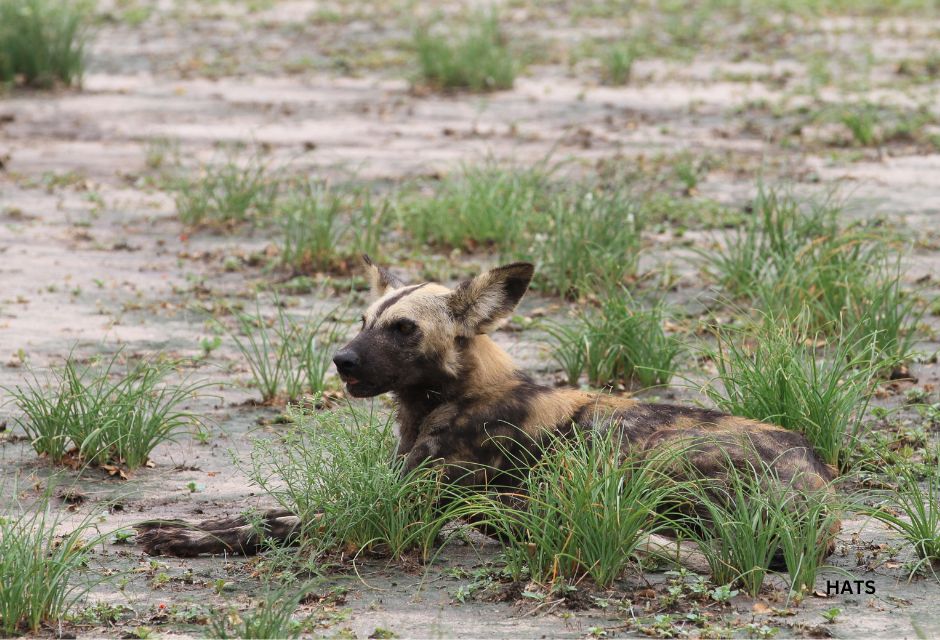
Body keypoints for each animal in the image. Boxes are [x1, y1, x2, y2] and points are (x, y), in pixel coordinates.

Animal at [136, 258, 832, 556]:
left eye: (404, 330)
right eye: (363, 320)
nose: (343, 361)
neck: (447, 398)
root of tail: (822, 477)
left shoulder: (399, 508)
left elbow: (273, 526)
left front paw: (183, 537)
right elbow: (269, 514)